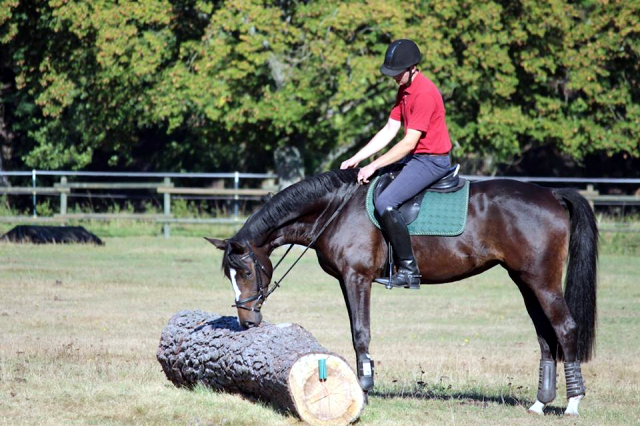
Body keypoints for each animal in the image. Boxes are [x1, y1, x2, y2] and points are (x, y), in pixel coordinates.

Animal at [208, 169, 596, 416]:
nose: (246, 320)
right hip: (524, 281)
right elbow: (356, 333)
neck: (335, 209)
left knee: (565, 329)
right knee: (545, 335)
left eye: (245, 272)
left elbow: (360, 333)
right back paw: (540, 403)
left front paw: (364, 388)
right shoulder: (347, 281)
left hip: (541, 281)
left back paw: (573, 404)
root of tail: (551, 193)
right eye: (228, 275)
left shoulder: (357, 278)